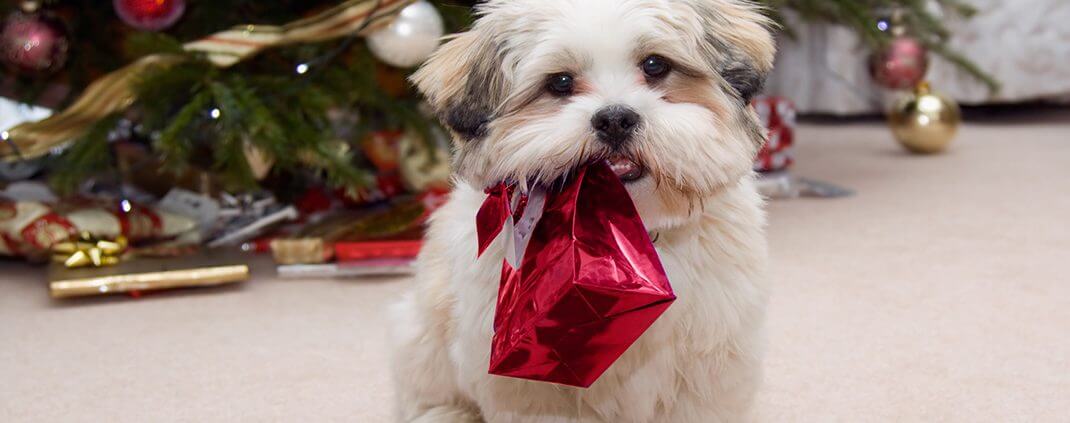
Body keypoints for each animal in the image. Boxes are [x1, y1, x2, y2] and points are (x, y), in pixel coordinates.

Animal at [389, 1, 774, 421]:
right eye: (560, 82)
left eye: (655, 65)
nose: (615, 118)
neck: (625, 235)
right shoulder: (531, 385)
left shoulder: (709, 368)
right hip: (420, 339)